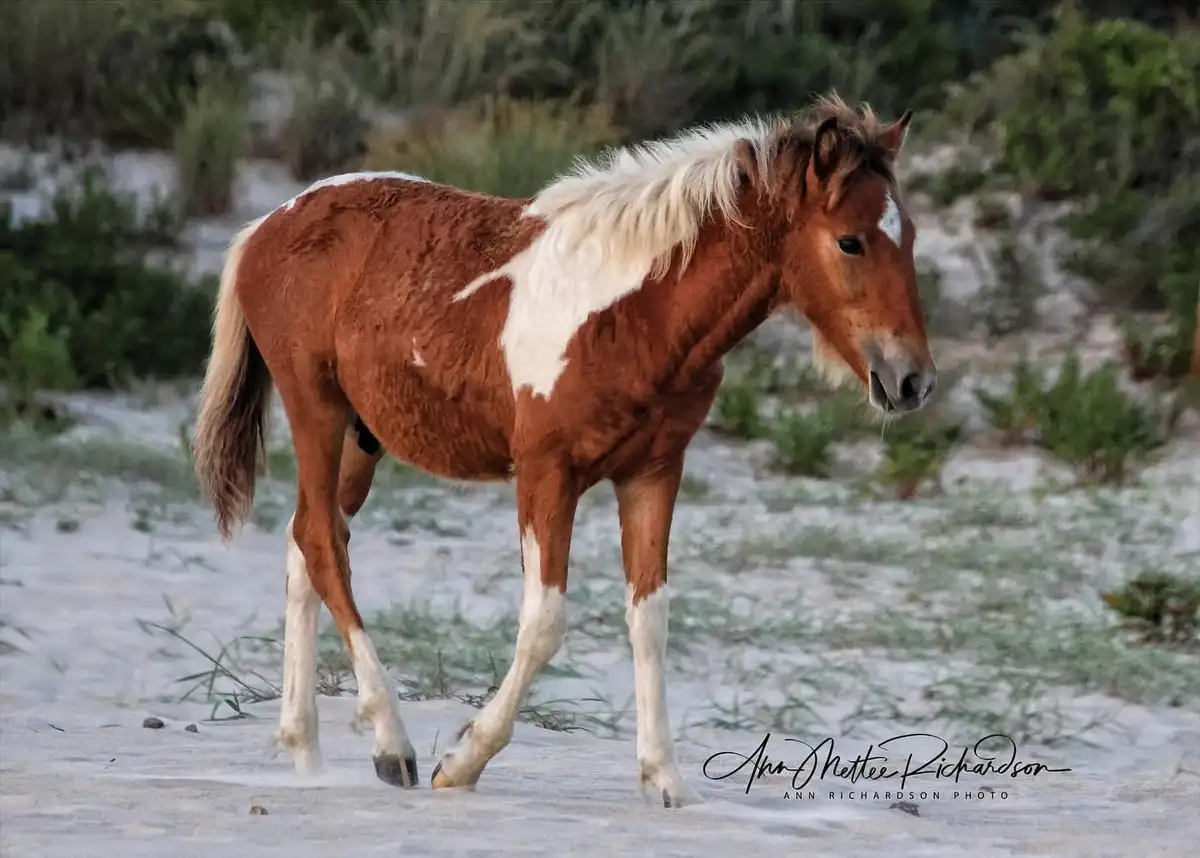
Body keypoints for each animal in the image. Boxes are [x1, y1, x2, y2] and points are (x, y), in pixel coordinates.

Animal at [191, 92, 937, 808]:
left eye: (909, 238)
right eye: (850, 241)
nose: (912, 381)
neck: (636, 312)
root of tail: (269, 224)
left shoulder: (653, 472)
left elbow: (650, 620)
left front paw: (666, 779)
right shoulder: (547, 473)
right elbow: (545, 621)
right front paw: (462, 762)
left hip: (360, 438)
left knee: (304, 546)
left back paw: (306, 751)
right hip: (316, 410)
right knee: (323, 546)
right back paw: (391, 742)